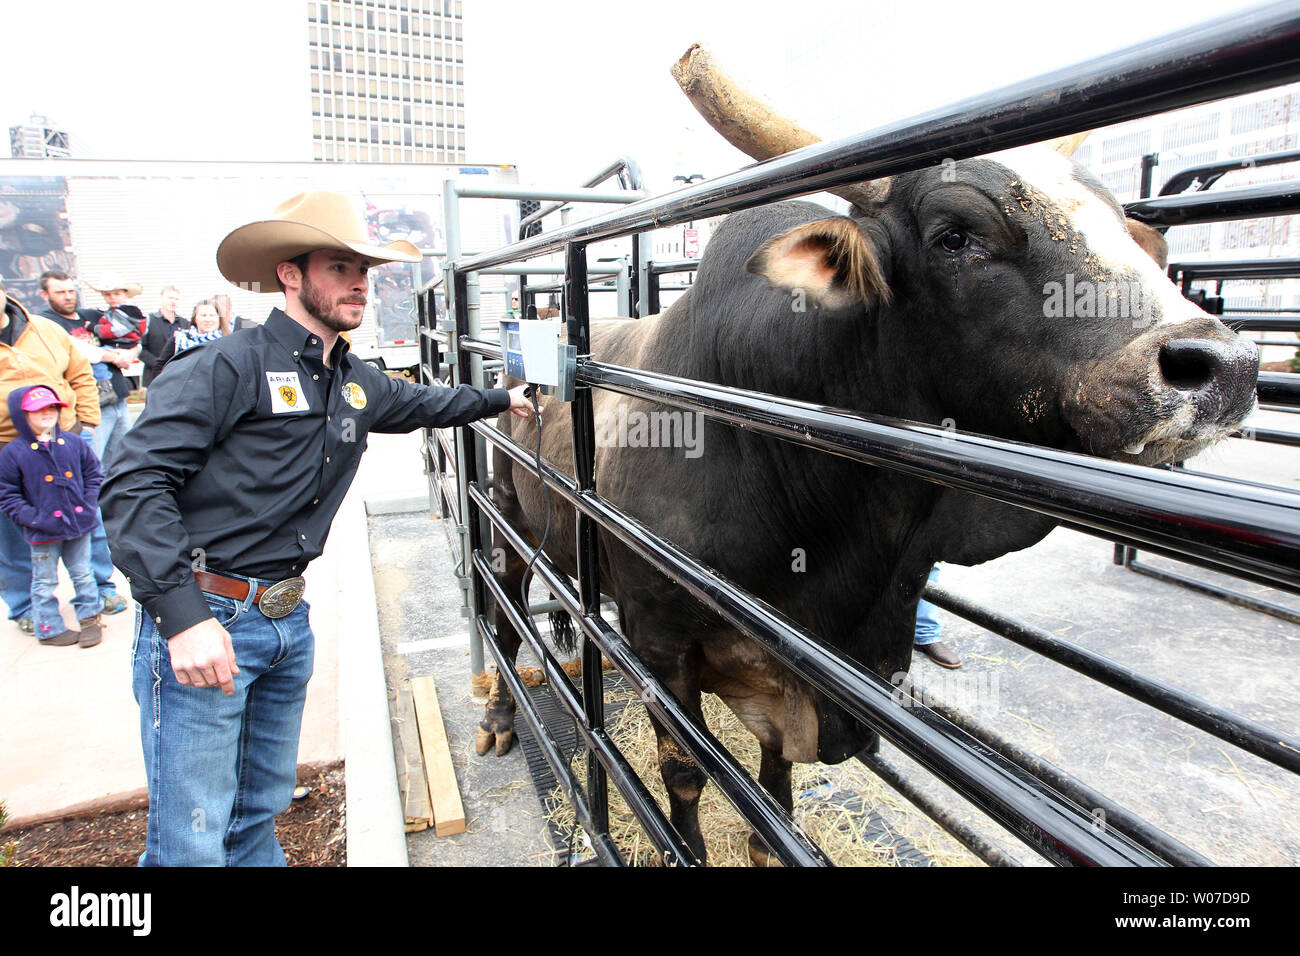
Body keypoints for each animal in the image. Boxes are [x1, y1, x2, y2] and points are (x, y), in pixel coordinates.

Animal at [475, 50, 1258, 868]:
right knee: (500, 604)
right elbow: (684, 773)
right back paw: (498, 716)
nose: (1220, 366)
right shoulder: (661, 647)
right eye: (954, 237)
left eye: (1123, 230)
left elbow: (775, 790)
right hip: (508, 519)